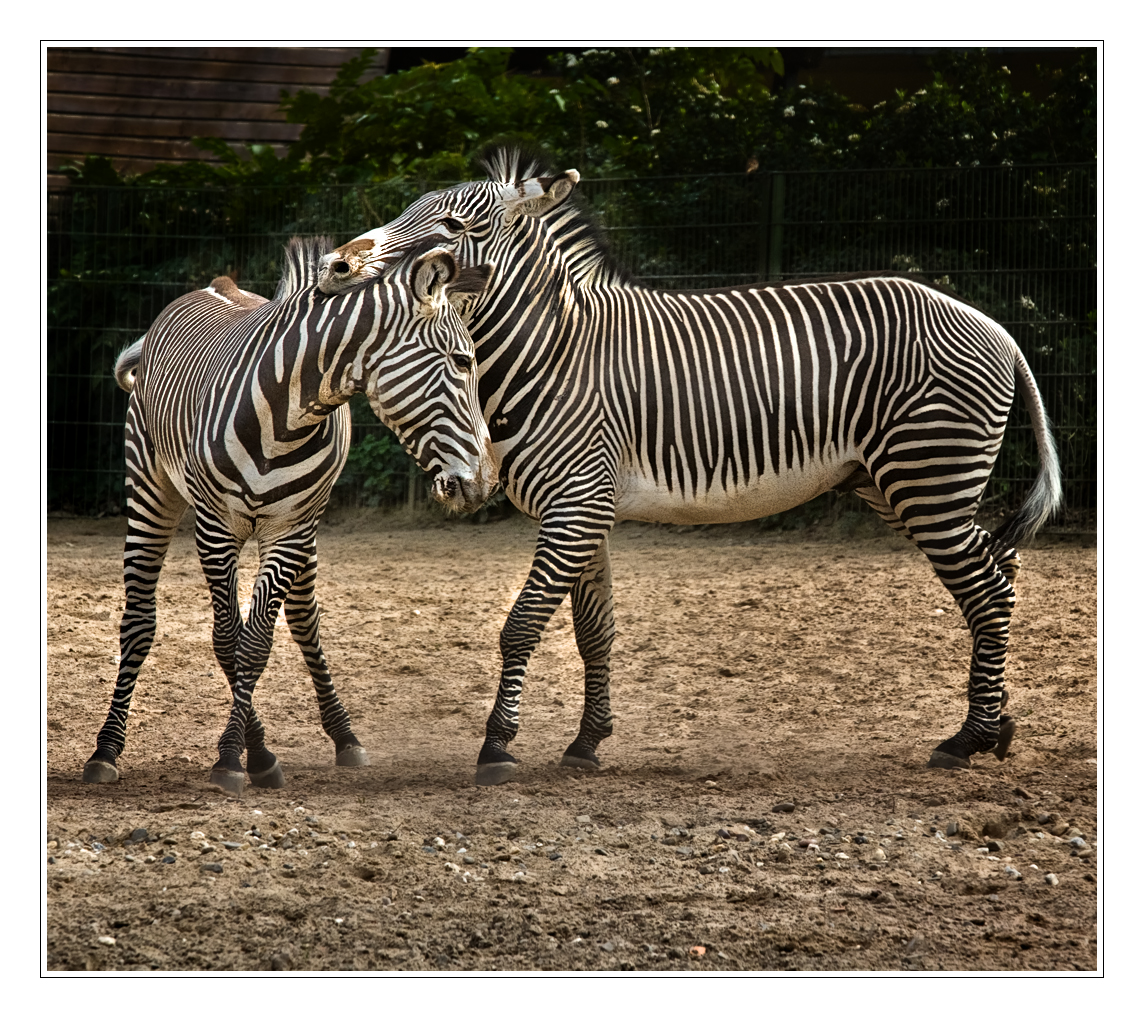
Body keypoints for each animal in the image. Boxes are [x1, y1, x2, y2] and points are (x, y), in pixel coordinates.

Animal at [84, 234, 496, 791]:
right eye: (462, 360)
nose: (485, 484)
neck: (287, 416)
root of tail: (220, 284)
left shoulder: (292, 528)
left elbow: (255, 642)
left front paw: (247, 755)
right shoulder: (216, 527)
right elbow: (227, 639)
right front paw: (238, 755)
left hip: (303, 529)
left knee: (303, 620)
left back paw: (343, 737)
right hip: (150, 488)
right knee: (140, 619)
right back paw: (107, 749)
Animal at [315, 146, 1061, 786]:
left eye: (453, 224)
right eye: (410, 207)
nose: (334, 268)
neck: (548, 351)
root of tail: (996, 327)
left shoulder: (576, 504)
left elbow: (522, 624)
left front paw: (498, 745)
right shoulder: (587, 510)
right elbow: (594, 632)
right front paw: (586, 743)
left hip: (927, 476)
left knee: (987, 590)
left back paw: (966, 739)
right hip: (895, 483)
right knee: (999, 572)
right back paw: (997, 726)